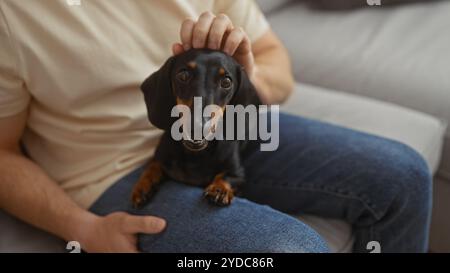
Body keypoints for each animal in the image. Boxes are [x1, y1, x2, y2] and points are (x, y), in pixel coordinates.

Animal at [131, 48, 260, 206]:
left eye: (226, 81)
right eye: (183, 75)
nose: (198, 127)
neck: (195, 155)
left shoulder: (238, 173)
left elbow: (227, 177)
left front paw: (219, 189)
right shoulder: (160, 157)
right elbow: (152, 166)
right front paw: (142, 186)